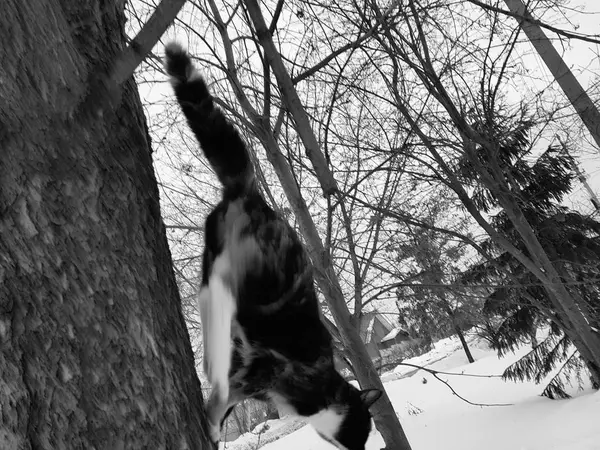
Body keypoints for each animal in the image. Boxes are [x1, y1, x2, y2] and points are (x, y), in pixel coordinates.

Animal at [165, 43, 380, 450]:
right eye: (362, 428)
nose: (362, 449)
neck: (324, 391)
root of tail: (254, 194)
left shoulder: (249, 373)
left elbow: (227, 400)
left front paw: (213, 423)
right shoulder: (261, 373)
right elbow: (226, 399)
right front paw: (213, 422)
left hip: (216, 258)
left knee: (211, 297)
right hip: (242, 279)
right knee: (220, 302)